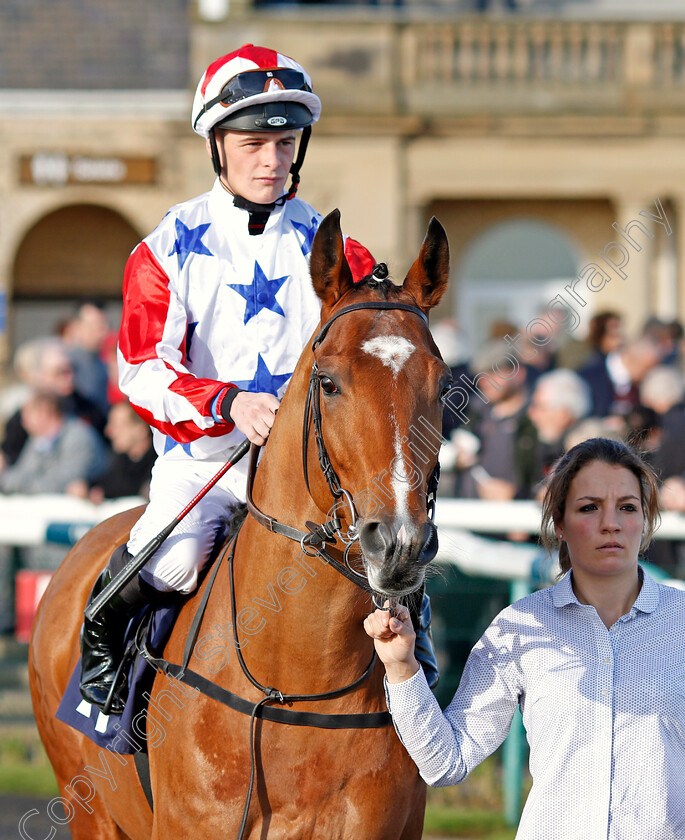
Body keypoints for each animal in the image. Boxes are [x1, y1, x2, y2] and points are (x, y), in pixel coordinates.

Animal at [29, 212, 452, 840]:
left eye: (443, 383)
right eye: (329, 381)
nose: (399, 542)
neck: (296, 688)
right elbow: (149, 361)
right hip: (89, 811)